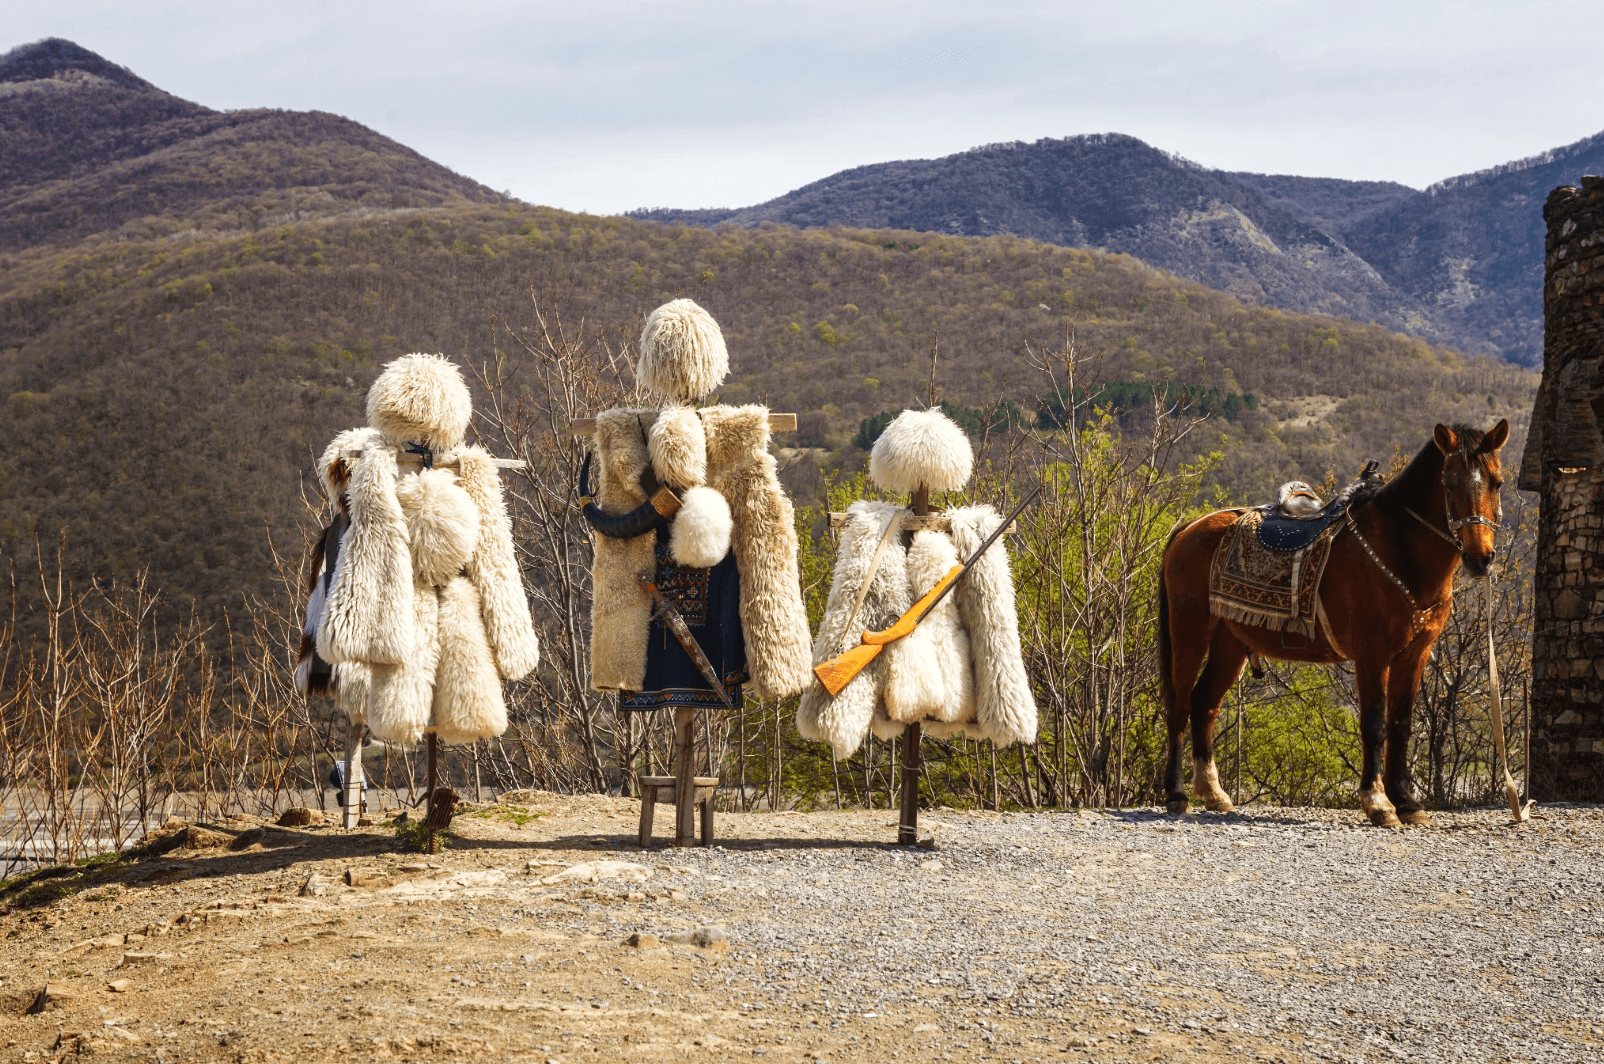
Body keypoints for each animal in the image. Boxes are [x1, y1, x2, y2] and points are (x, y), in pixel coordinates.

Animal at [1161, 420, 1507, 828]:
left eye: (1497, 482)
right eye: (1449, 484)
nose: (1480, 558)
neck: (1397, 551)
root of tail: (1189, 528)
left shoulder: (1414, 655)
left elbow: (1400, 723)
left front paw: (1407, 802)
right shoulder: (1372, 655)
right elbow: (1374, 724)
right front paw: (1378, 803)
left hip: (1229, 644)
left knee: (1204, 705)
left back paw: (1214, 794)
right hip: (1190, 633)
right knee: (1179, 705)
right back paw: (1177, 794)